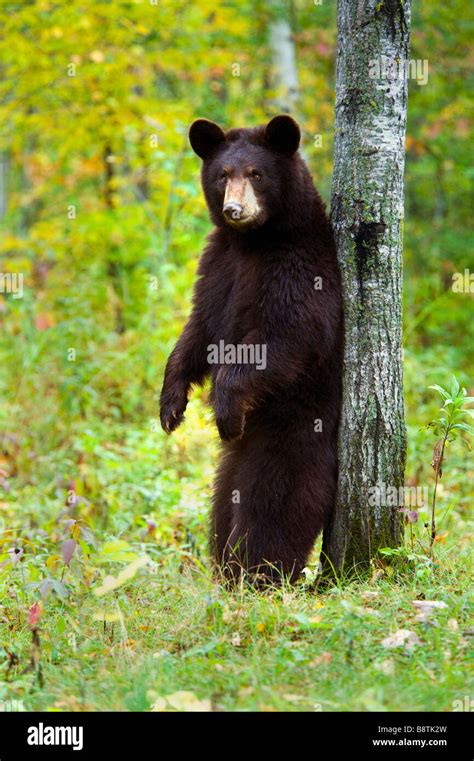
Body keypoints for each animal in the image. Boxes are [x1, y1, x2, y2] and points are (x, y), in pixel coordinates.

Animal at [161, 114, 342, 580]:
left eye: (256, 173)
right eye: (223, 174)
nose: (234, 211)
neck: (254, 241)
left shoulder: (299, 273)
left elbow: (283, 341)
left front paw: (224, 407)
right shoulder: (217, 268)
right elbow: (198, 330)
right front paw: (170, 405)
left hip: (292, 429)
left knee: (272, 503)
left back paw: (256, 571)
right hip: (233, 465)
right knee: (224, 504)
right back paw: (226, 567)